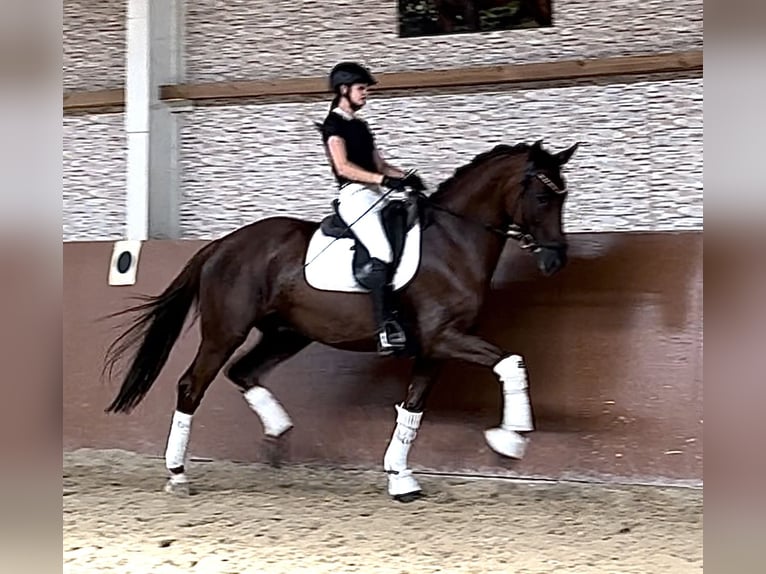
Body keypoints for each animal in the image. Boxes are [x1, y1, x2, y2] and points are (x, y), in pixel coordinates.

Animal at [103, 140, 584, 504]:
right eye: (543, 197)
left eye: (564, 197)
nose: (556, 261)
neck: (452, 242)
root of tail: (222, 244)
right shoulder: (446, 337)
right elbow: (511, 361)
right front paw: (510, 439)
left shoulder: (434, 348)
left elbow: (413, 408)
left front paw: (401, 480)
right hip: (225, 332)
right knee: (193, 385)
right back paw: (178, 474)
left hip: (287, 334)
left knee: (243, 372)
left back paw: (277, 434)